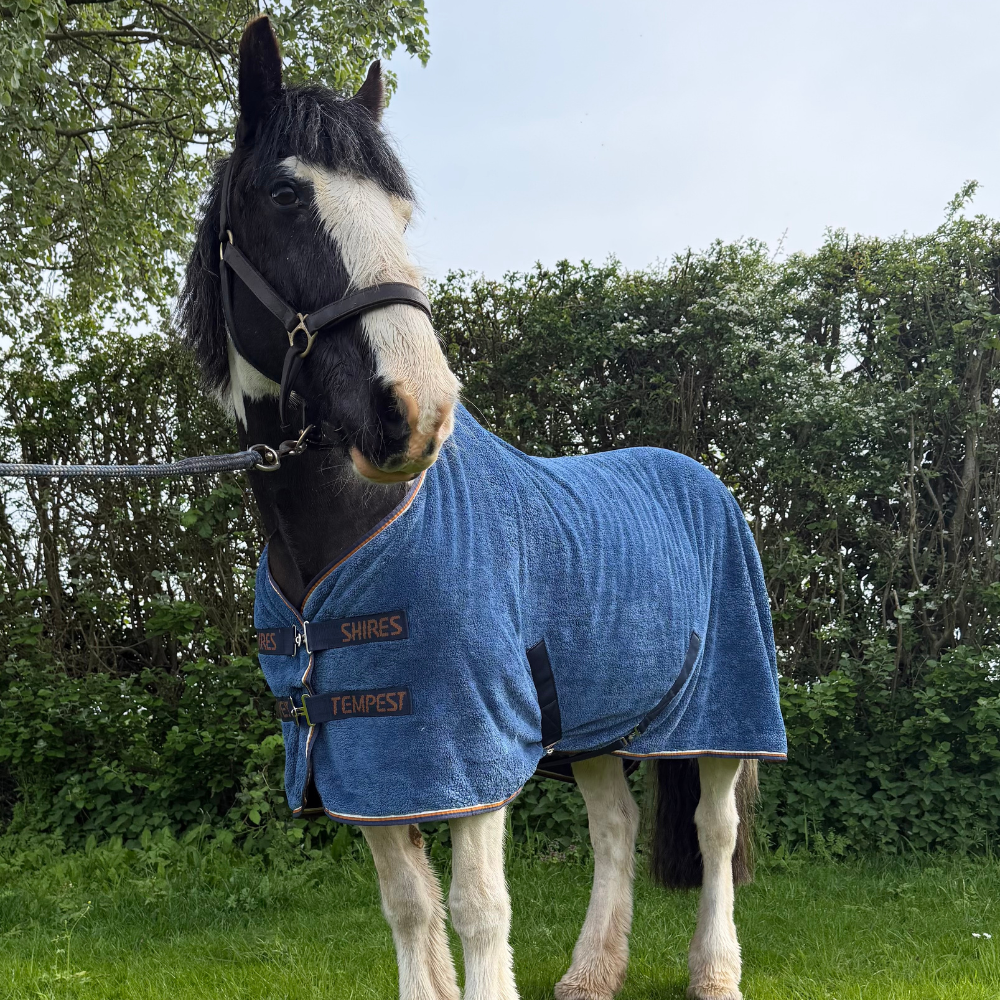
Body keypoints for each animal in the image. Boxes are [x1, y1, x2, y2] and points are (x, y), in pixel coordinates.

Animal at [179, 17, 785, 1000]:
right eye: (284, 193)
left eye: (399, 214)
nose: (415, 409)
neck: (344, 540)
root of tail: (702, 477)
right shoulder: (371, 757)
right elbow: (410, 907)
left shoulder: (468, 746)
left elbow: (477, 910)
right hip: (592, 725)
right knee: (615, 826)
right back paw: (590, 971)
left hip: (726, 712)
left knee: (715, 829)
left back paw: (715, 970)